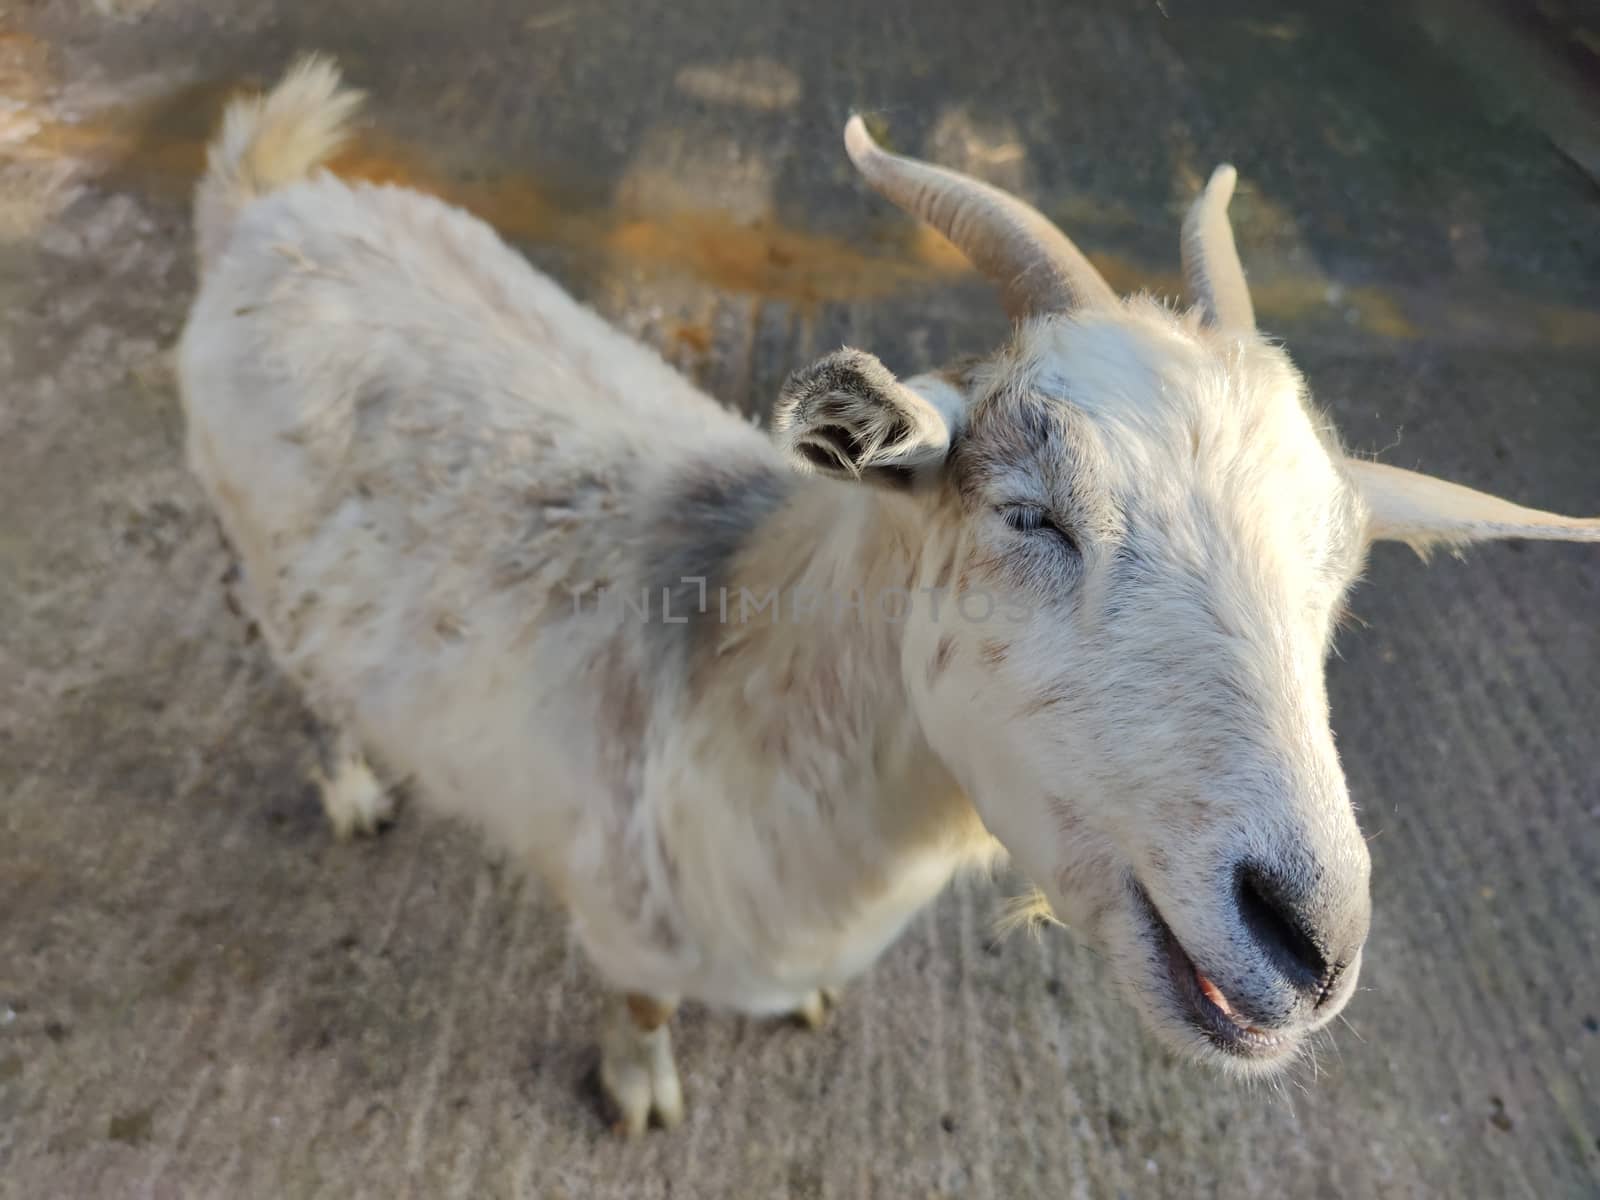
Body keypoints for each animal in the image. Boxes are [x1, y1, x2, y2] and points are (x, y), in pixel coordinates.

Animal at [181, 58, 1593, 1139]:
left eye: (1337, 575)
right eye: (1031, 513)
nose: (1309, 943)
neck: (726, 657)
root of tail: (270, 201)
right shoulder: (629, 918)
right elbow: (639, 1010)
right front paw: (638, 1092)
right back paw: (353, 787)